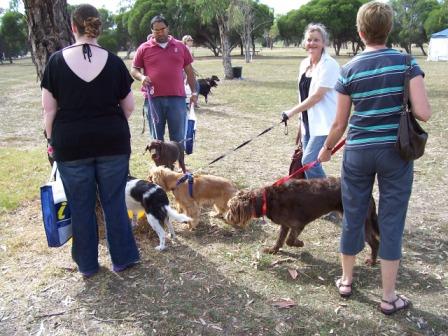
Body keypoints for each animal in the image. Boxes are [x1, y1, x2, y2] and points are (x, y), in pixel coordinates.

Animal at [228, 177, 378, 264]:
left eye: (231, 209)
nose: (226, 217)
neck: (267, 199)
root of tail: (369, 194)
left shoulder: (298, 225)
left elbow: (289, 240)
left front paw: (300, 243)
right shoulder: (285, 225)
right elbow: (280, 240)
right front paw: (273, 250)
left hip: (360, 223)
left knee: (375, 241)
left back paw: (372, 261)